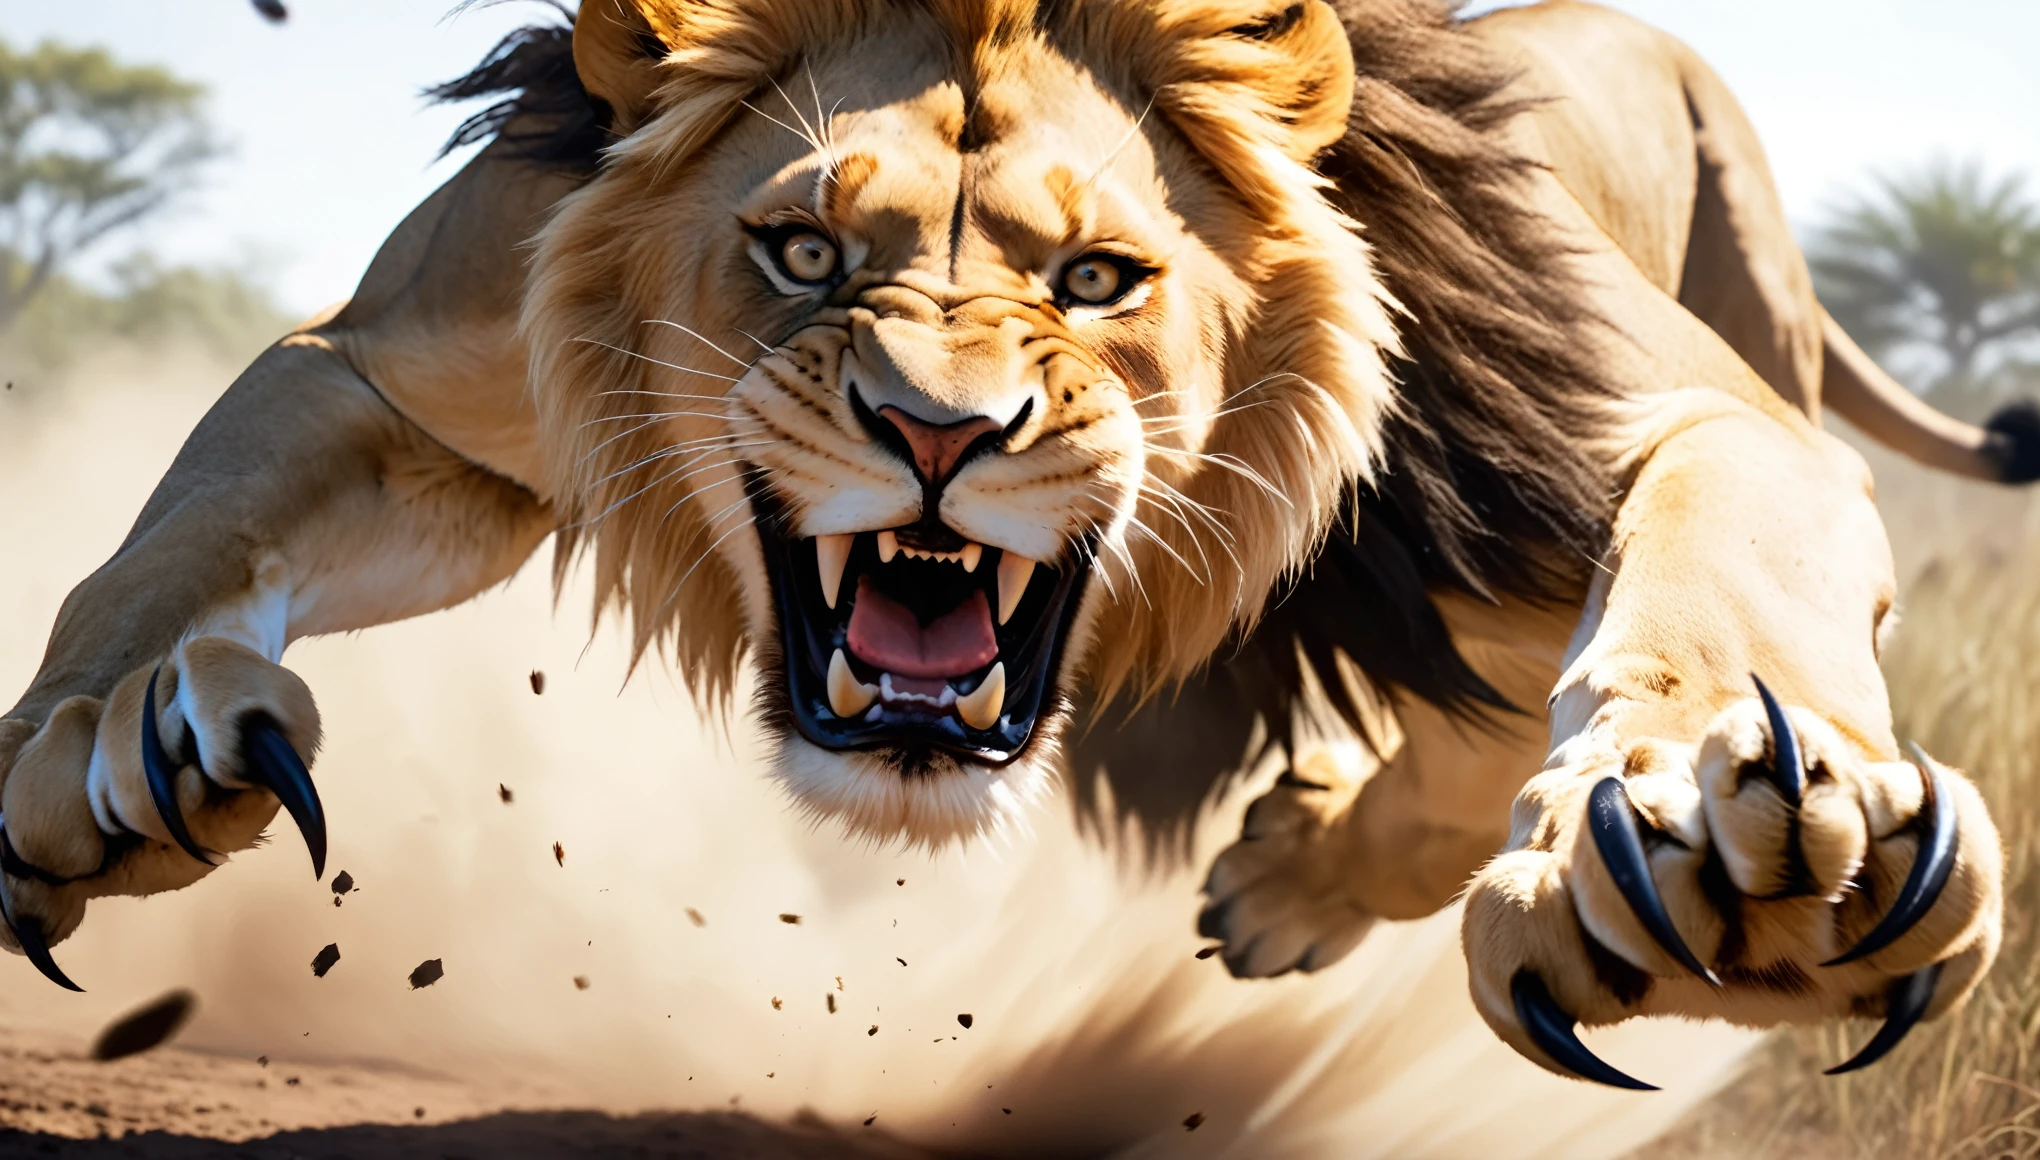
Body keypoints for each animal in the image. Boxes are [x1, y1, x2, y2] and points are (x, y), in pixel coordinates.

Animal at [0, 0, 2023, 1089]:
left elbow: (1698, 613)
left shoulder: (1667, 429)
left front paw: (1727, 851)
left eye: (1099, 279)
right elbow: (168, 551)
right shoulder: (414, 369)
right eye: (805, 250)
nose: (938, 434)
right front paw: (98, 753)